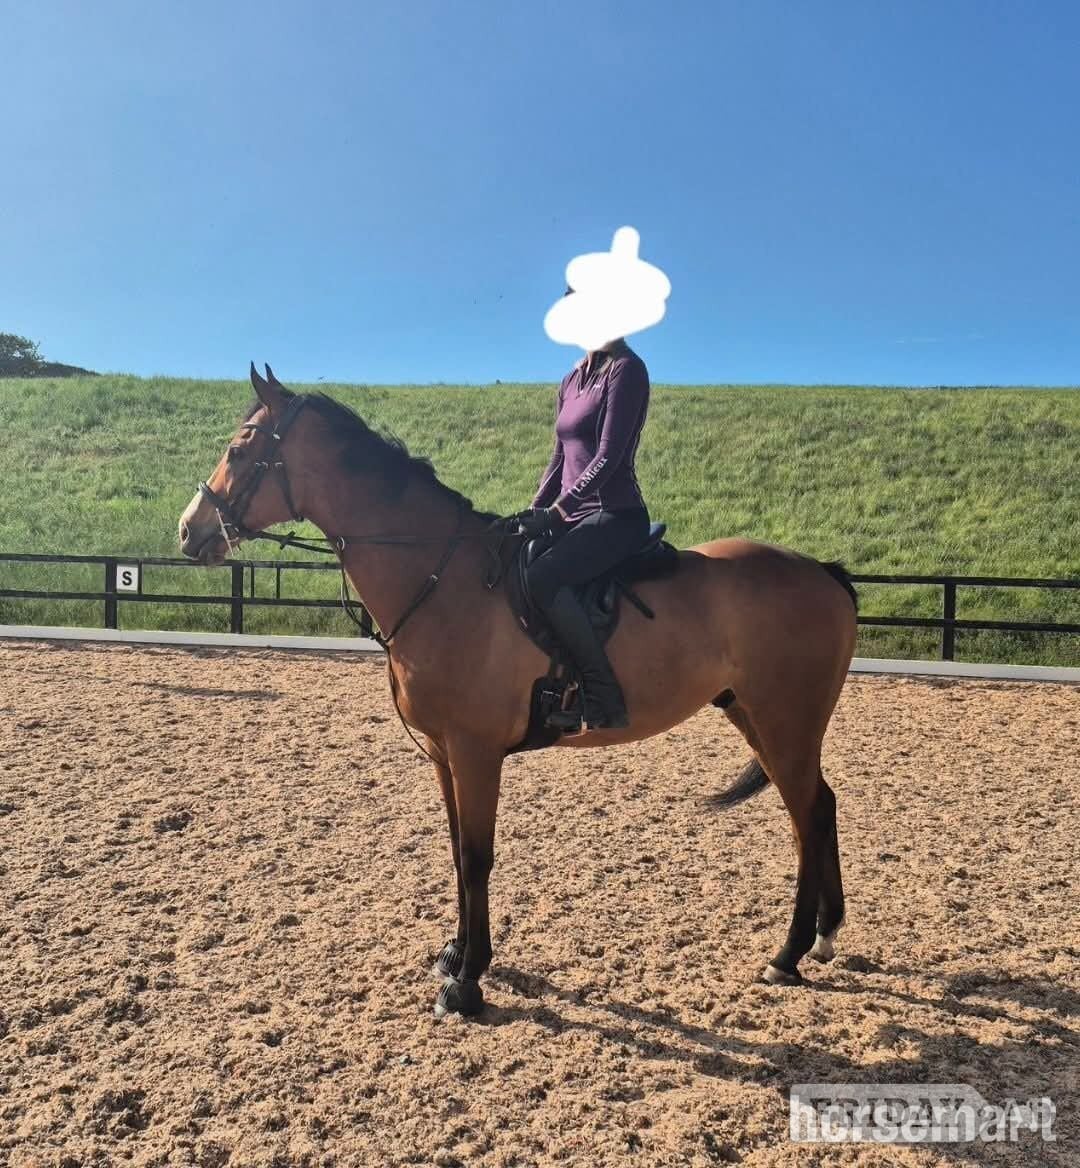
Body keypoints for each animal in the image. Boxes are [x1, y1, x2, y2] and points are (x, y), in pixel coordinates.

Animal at [179, 364, 858, 1018]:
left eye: (239, 449)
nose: (189, 531)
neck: (440, 578)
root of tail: (823, 572)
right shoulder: (444, 754)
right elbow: (458, 852)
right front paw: (456, 955)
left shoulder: (475, 751)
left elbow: (478, 856)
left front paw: (467, 983)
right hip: (755, 716)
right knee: (817, 808)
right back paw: (822, 938)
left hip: (785, 722)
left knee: (807, 814)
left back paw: (788, 954)